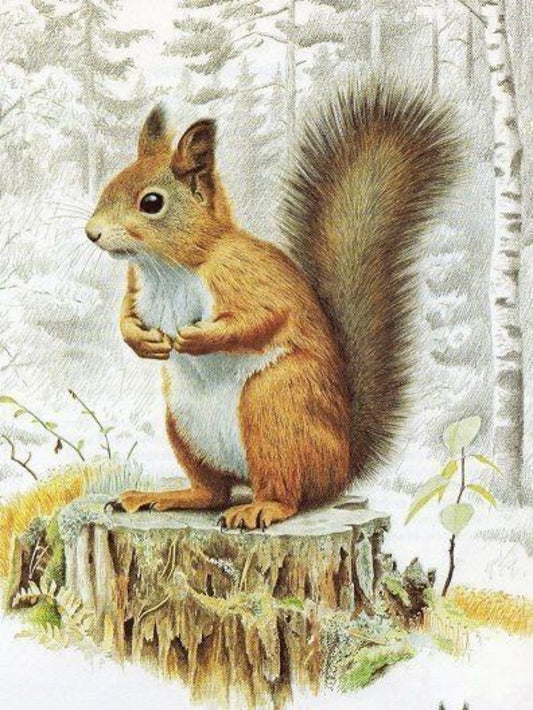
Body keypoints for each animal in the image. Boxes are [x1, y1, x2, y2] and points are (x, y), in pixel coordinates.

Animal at [86, 78, 459, 530]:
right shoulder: (135, 287)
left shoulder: (250, 278)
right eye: (109, 185)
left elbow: (262, 319)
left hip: (274, 406)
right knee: (212, 492)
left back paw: (261, 507)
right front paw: (144, 342)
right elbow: (125, 318)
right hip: (183, 422)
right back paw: (163, 496)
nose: (91, 232)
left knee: (286, 492)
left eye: (152, 203)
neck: (168, 266)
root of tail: (342, 465)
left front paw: (197, 338)